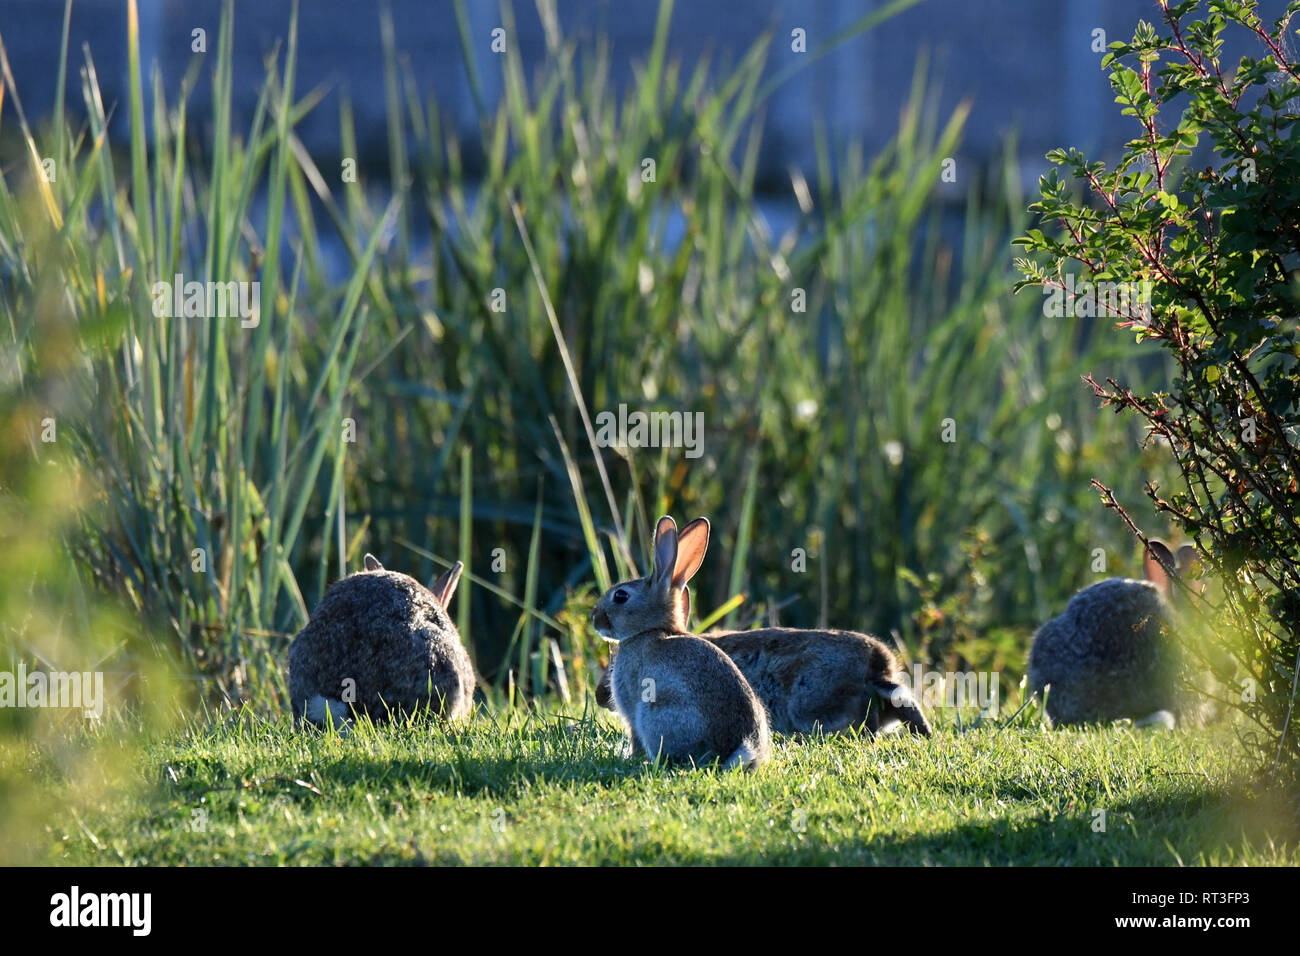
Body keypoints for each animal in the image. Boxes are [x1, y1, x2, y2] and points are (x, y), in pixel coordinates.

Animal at [590, 516, 771, 770]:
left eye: (621, 596)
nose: (595, 618)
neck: (650, 630)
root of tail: (734, 752)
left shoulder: (631, 707)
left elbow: (634, 736)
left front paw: (628, 757)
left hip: (654, 711)